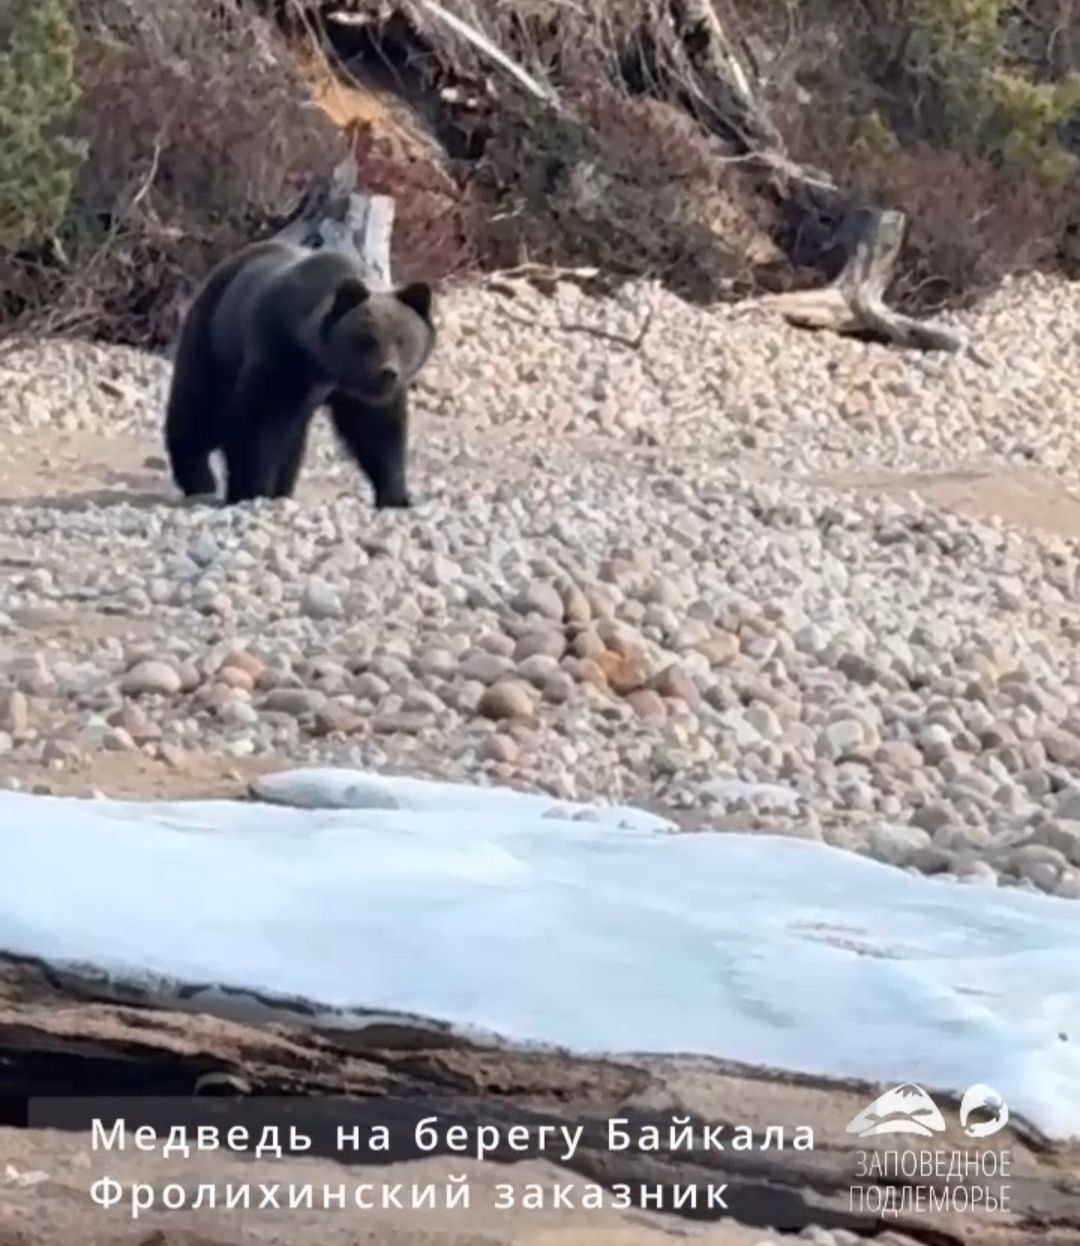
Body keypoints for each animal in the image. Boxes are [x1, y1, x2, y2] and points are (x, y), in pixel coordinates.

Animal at [164, 237, 435, 510]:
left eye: (403, 339)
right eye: (368, 340)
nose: (388, 372)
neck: (320, 361)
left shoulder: (354, 391)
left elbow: (377, 430)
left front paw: (395, 496)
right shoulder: (281, 357)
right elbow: (259, 424)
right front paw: (249, 490)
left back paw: (282, 489)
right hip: (214, 339)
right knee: (201, 408)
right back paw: (199, 479)